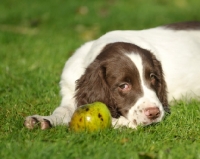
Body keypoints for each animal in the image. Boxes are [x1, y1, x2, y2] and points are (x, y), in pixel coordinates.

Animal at [24, 21, 200, 130]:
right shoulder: (70, 92)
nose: (154, 113)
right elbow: (62, 110)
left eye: (153, 77)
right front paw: (42, 120)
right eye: (124, 86)